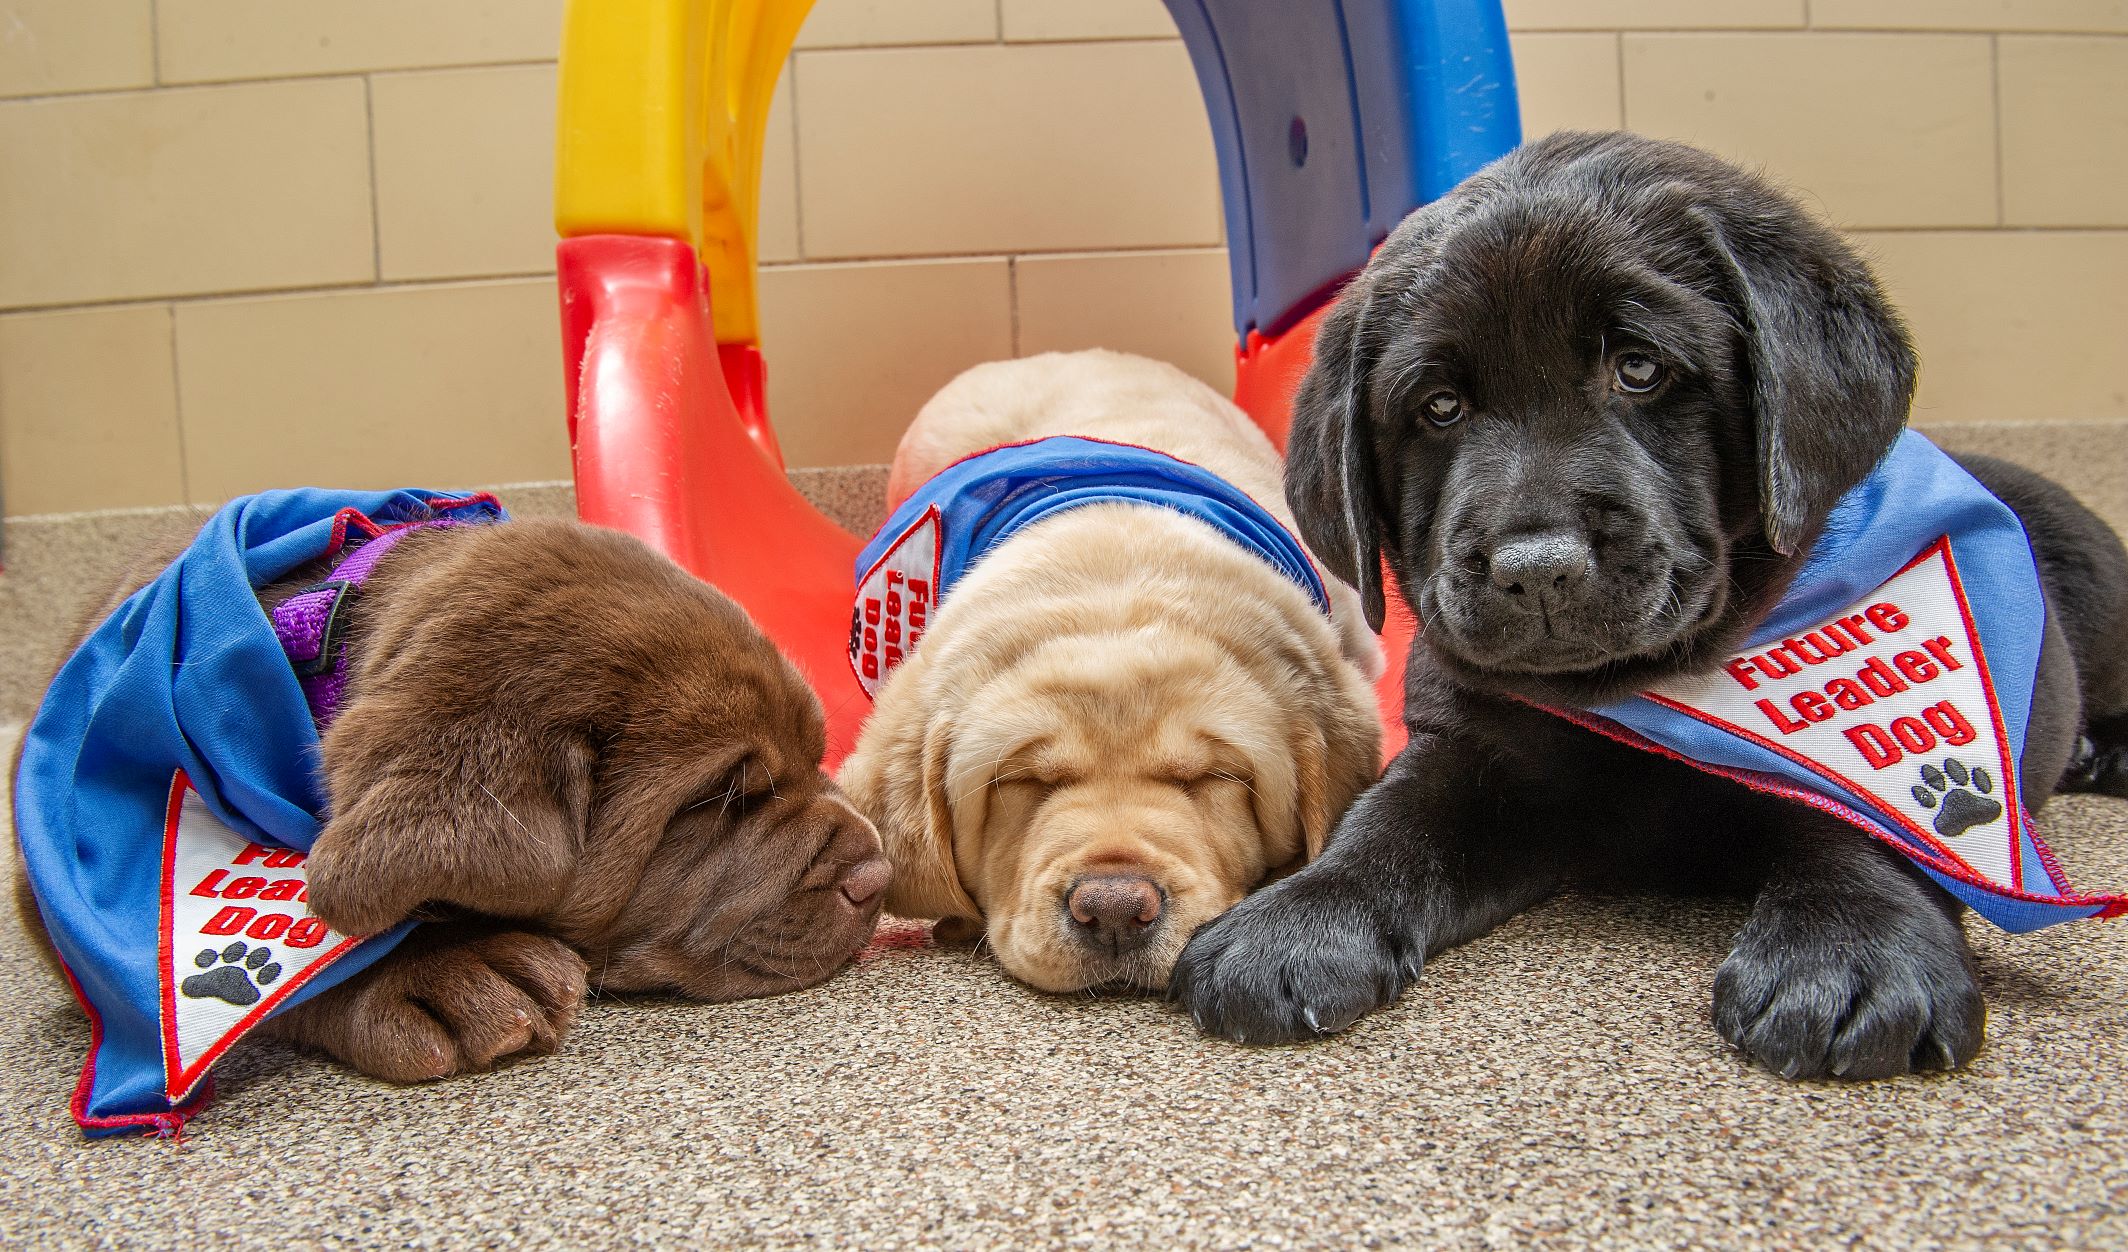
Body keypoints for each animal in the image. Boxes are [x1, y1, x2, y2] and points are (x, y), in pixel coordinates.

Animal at [1174, 132, 2128, 1081]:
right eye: (1439, 407)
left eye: (1639, 369)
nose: (1536, 569)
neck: (1648, 687)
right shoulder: (1471, 747)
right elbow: (1387, 822)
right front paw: (1297, 921)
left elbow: (1884, 820)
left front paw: (1853, 952)